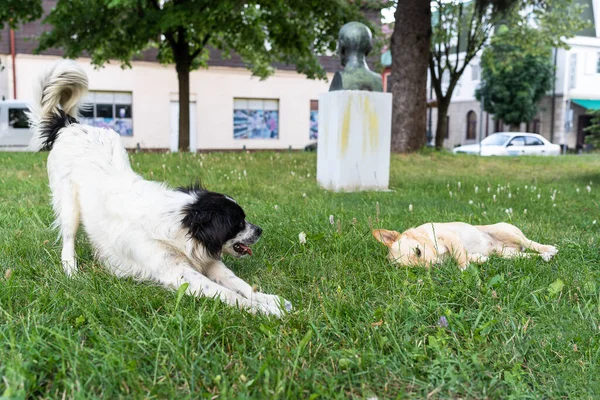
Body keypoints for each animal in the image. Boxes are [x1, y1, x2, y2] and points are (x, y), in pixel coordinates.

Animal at [29, 61, 292, 318]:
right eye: (238, 223)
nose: (260, 230)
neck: (182, 223)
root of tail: (70, 126)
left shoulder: (208, 261)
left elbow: (238, 283)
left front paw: (271, 300)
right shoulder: (180, 273)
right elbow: (227, 293)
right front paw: (262, 310)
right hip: (69, 207)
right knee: (68, 240)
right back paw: (71, 271)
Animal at [376, 220, 556, 270]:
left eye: (418, 251)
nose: (436, 267)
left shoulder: (450, 237)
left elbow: (458, 254)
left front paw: (464, 268)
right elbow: (466, 255)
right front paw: (479, 259)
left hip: (506, 233)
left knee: (531, 243)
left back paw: (548, 248)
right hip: (507, 254)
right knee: (529, 256)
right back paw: (545, 256)